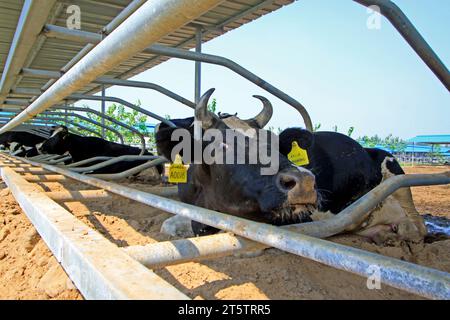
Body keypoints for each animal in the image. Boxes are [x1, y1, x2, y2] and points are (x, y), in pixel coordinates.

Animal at [155, 89, 426, 244]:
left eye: (274, 144)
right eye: (221, 145)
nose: (305, 182)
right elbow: (169, 224)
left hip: (398, 176)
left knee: (417, 226)